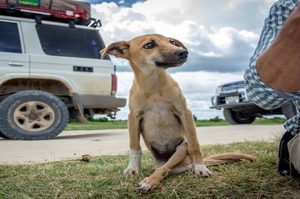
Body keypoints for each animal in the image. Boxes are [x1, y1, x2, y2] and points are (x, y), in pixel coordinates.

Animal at [101, 33, 255, 193]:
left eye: (172, 42)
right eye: (149, 45)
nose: (183, 52)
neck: (153, 84)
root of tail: (183, 165)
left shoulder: (185, 113)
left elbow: (194, 145)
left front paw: (201, 168)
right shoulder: (133, 117)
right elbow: (134, 146)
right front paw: (132, 168)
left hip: (181, 149)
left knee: (165, 169)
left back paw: (150, 181)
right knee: (162, 168)